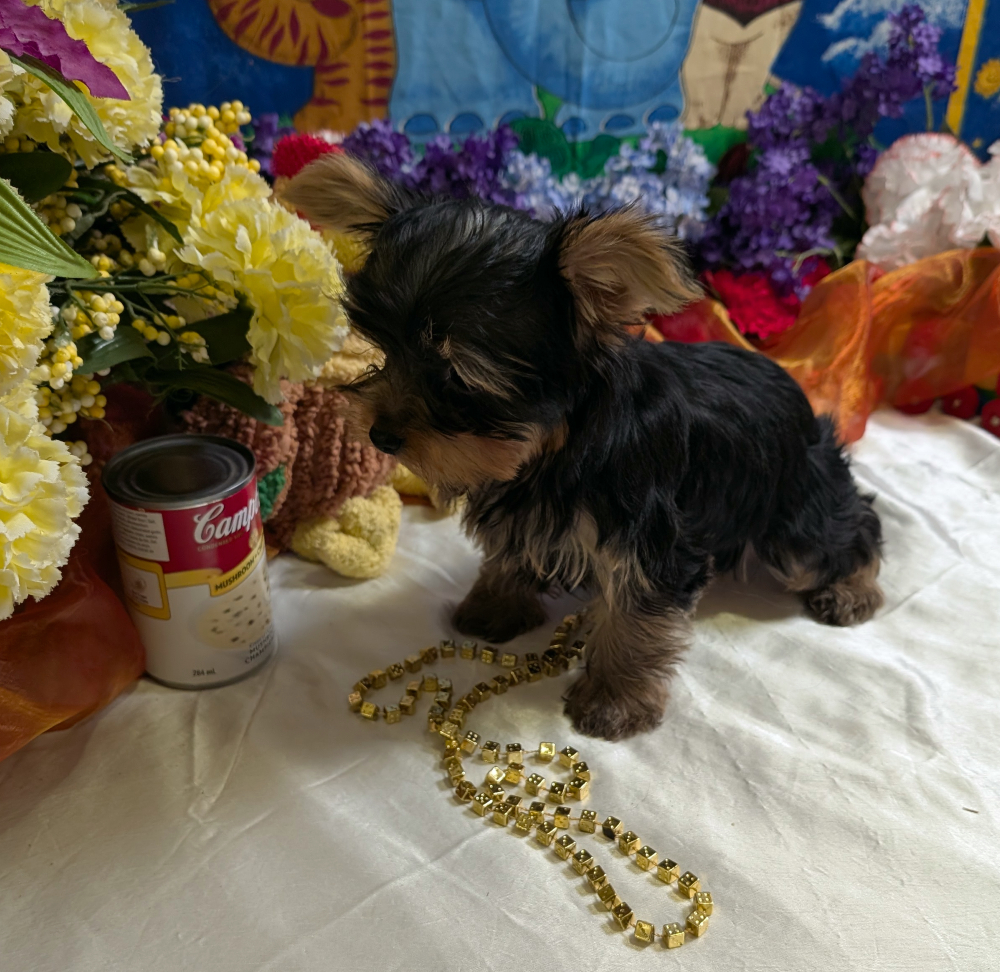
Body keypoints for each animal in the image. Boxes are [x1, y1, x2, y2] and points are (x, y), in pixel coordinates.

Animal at [284, 153, 884, 741]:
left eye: (457, 378)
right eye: (384, 353)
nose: (380, 434)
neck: (558, 446)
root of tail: (795, 391)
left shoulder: (651, 541)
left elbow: (636, 619)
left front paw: (614, 699)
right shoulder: (522, 506)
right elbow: (509, 554)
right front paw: (494, 606)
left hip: (792, 501)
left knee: (845, 529)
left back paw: (851, 590)